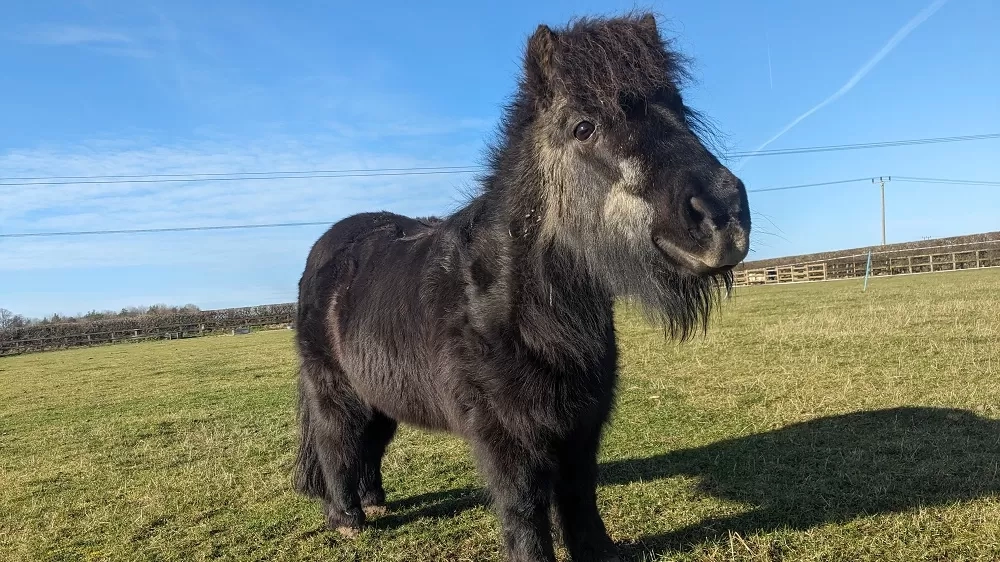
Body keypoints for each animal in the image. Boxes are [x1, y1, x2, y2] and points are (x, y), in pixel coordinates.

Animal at [294, 13, 752, 560]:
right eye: (583, 127)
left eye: (679, 107)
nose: (722, 215)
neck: (511, 303)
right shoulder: (507, 436)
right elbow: (524, 509)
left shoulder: (581, 424)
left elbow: (578, 496)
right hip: (334, 390)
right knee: (336, 442)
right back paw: (347, 518)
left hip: (379, 391)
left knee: (369, 443)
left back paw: (375, 502)